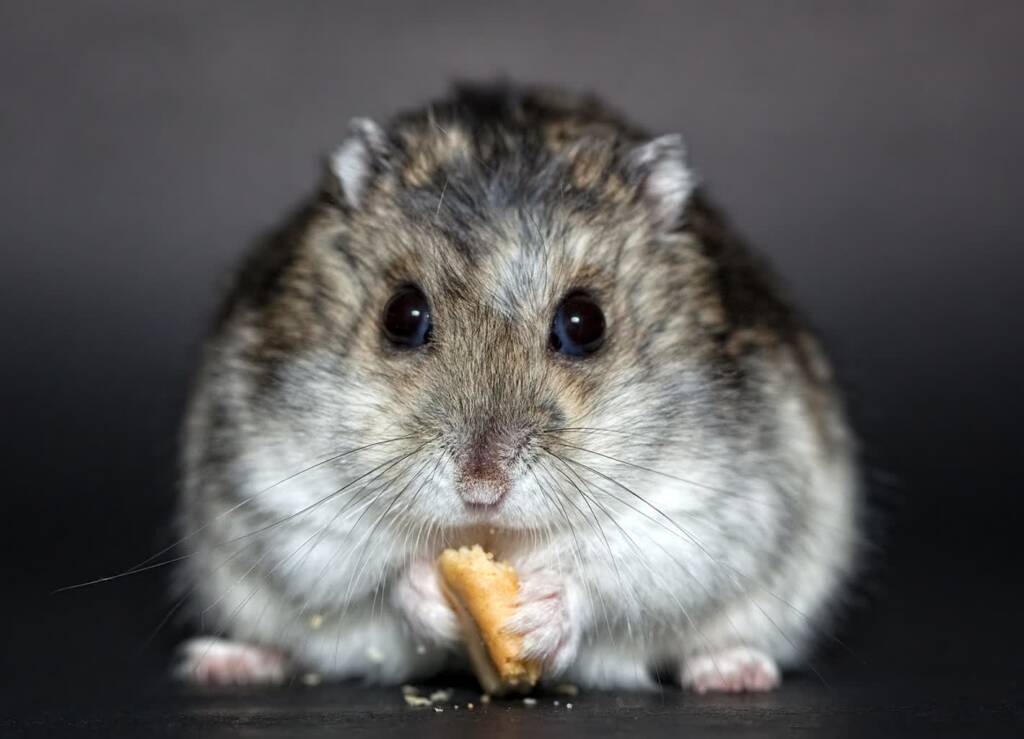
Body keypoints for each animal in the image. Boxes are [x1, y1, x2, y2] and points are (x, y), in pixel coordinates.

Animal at [174, 84, 859, 692]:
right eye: (402, 316)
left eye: (585, 323)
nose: (482, 491)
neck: (496, 537)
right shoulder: (283, 496)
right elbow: (372, 574)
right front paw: (430, 591)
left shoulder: (705, 509)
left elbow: (612, 575)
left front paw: (537, 615)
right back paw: (224, 662)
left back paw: (733, 672)